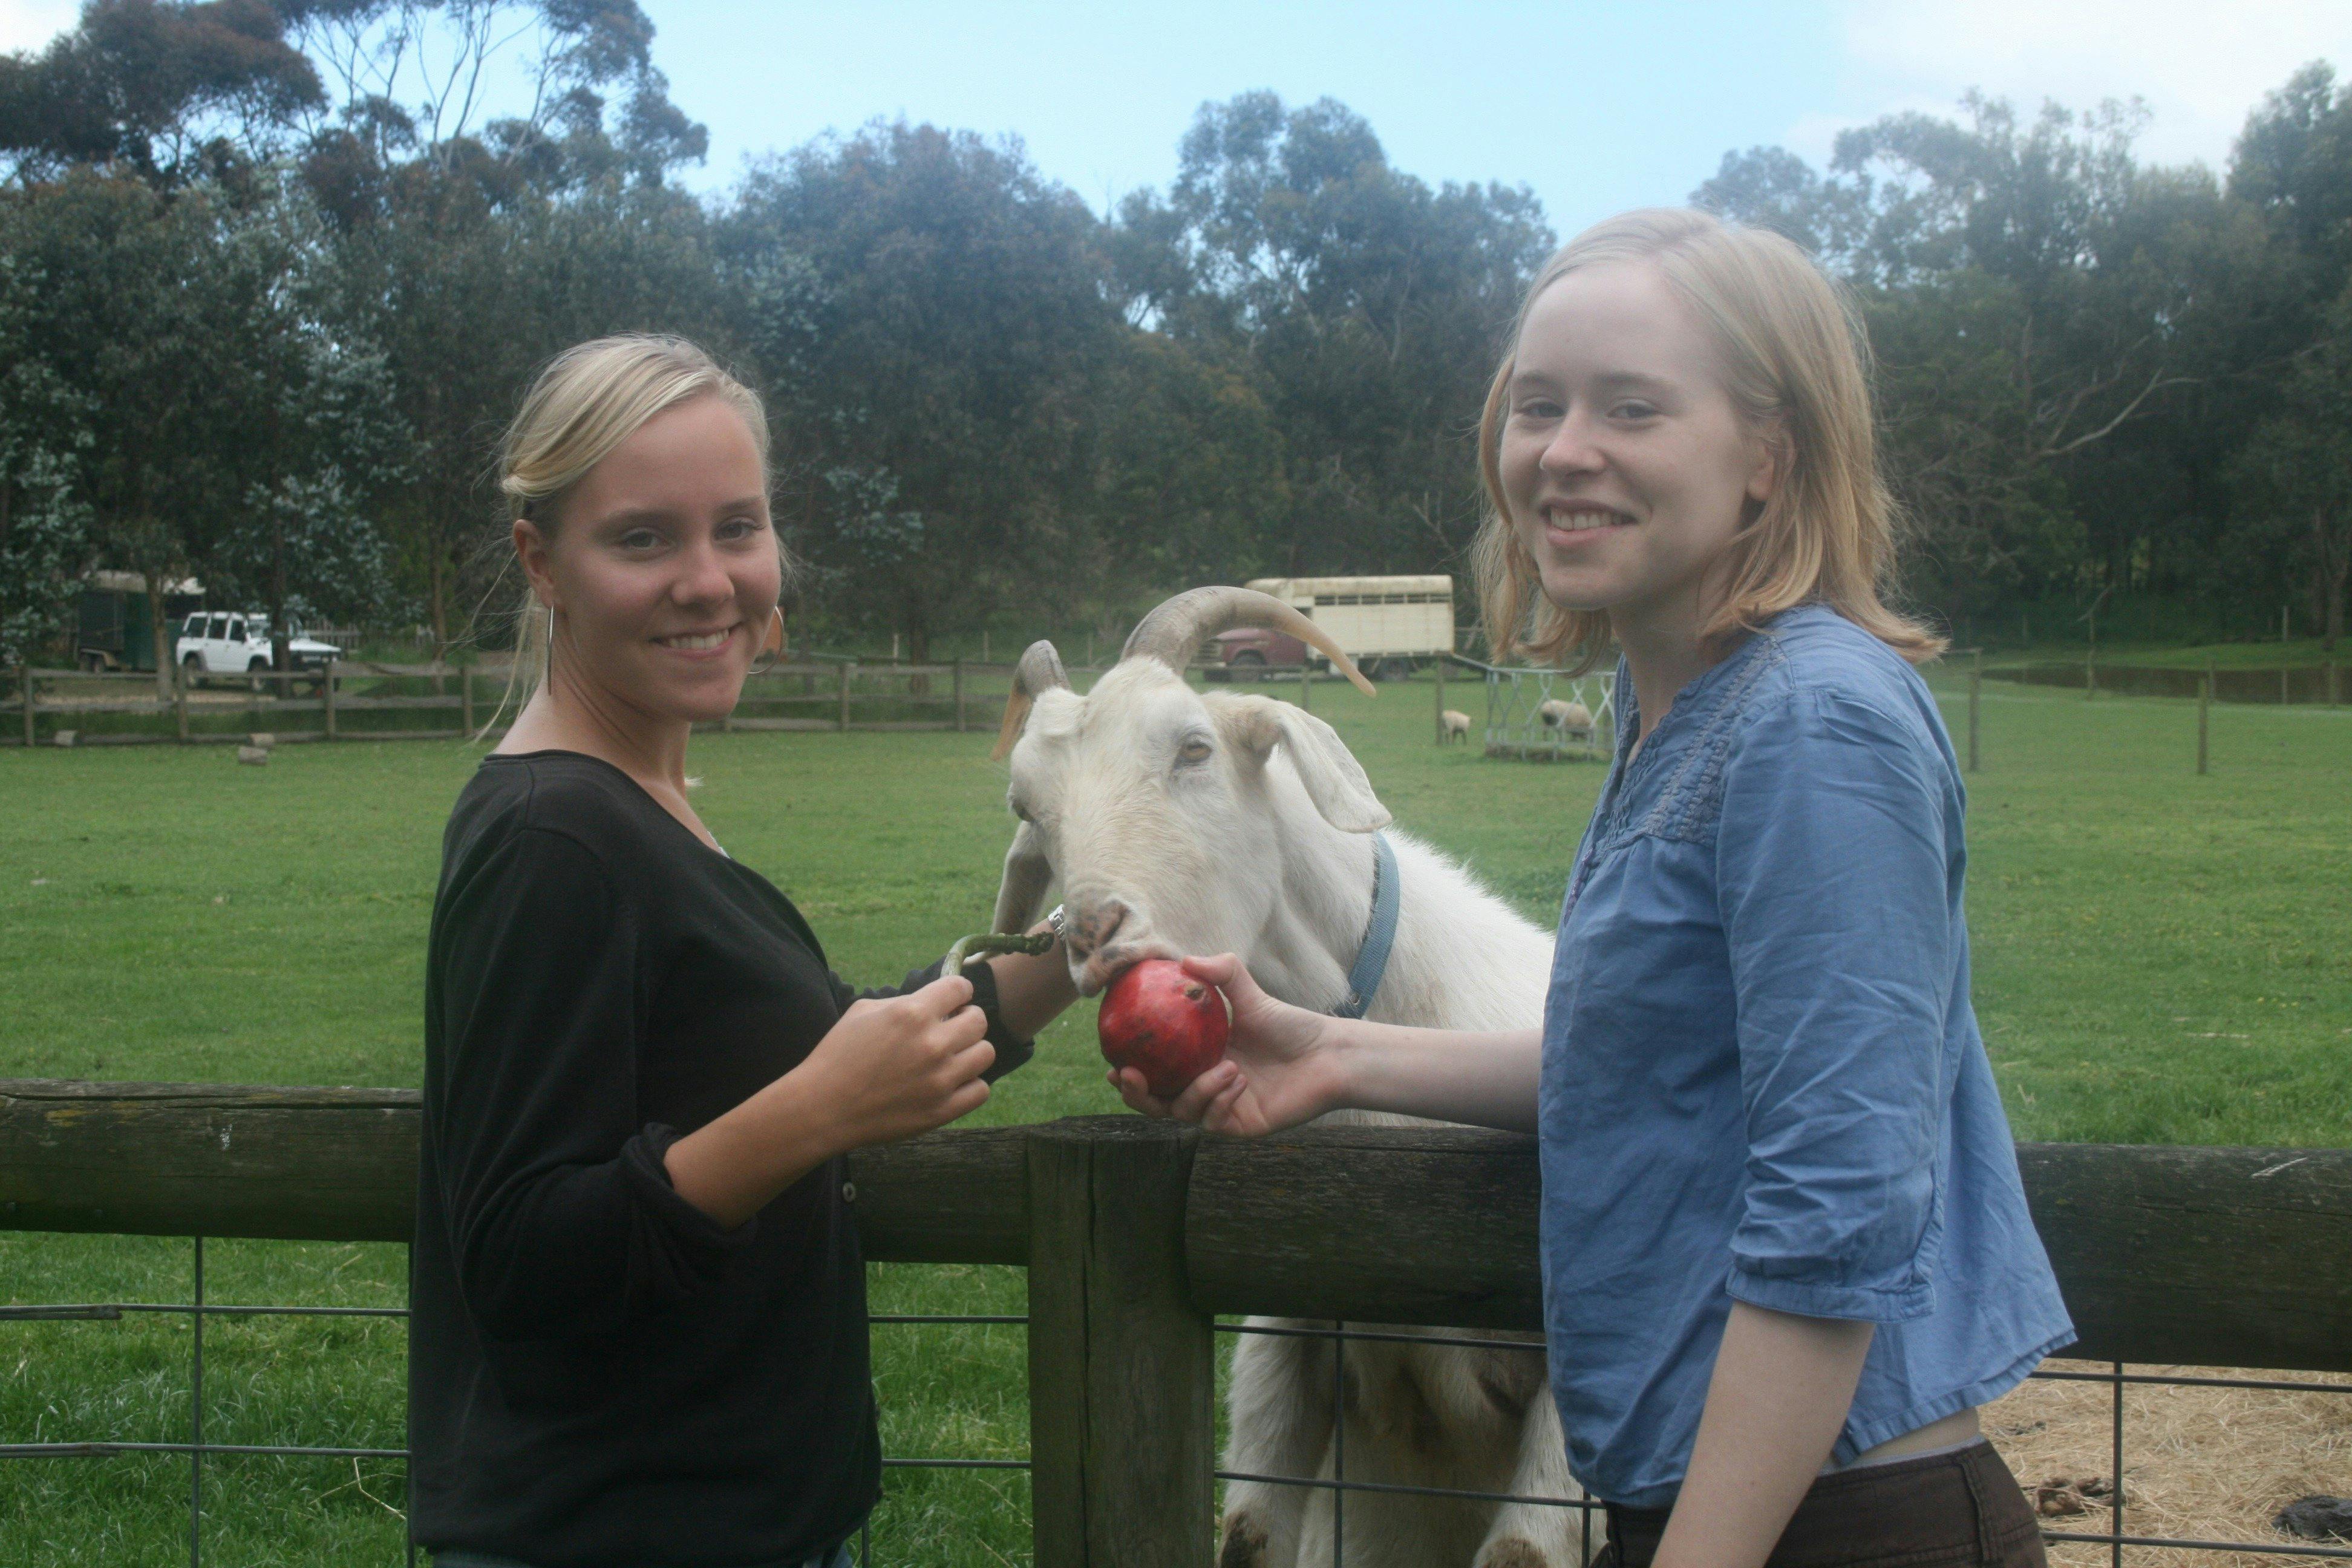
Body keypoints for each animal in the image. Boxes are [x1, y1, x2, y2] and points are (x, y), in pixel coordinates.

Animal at [983, 585, 1590, 1568]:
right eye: (1028, 805)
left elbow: (1522, 1552)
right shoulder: (1288, 1339)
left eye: (1194, 748)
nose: (1097, 933)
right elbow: (1250, 1535)